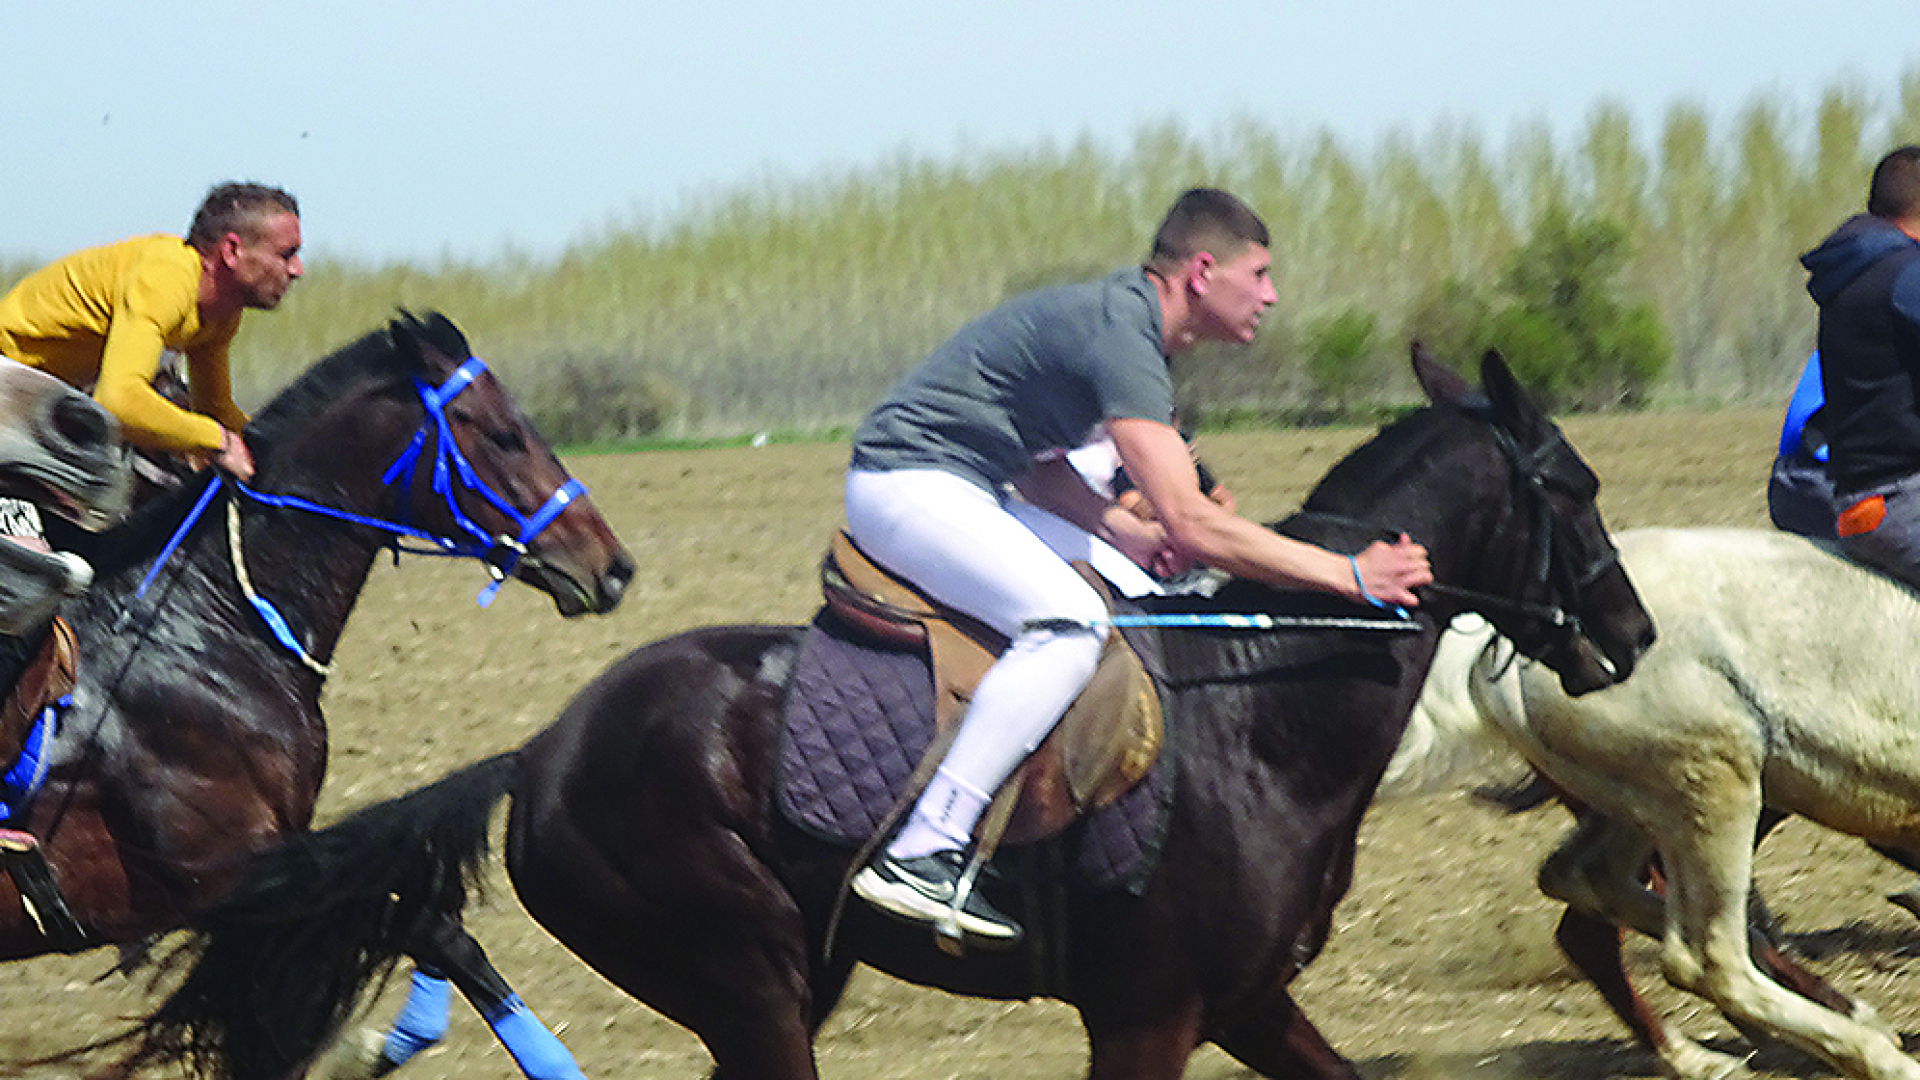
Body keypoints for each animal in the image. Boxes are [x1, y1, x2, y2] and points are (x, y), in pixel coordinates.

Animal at [123, 343, 1651, 1076]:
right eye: (1574, 488)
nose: (1632, 636)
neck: (1265, 719)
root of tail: (540, 747)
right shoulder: (1147, 1015)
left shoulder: (1248, 1006)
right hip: (745, 977)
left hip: (788, 974)